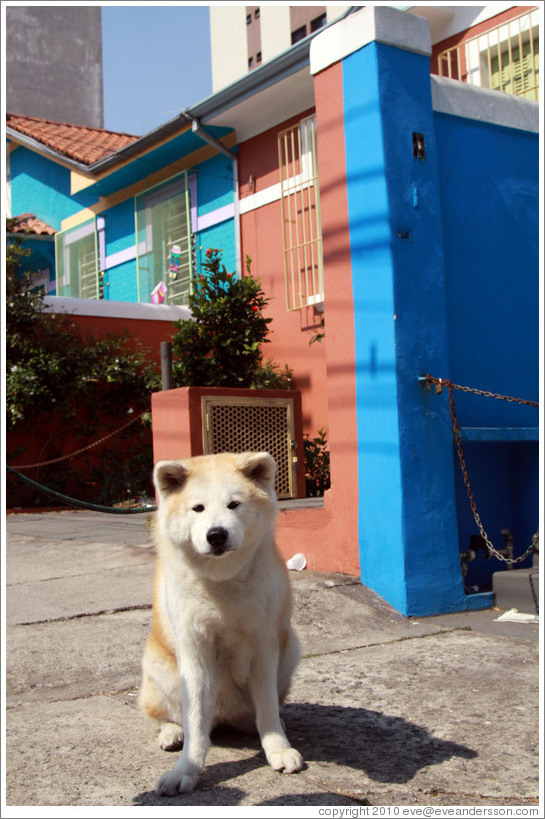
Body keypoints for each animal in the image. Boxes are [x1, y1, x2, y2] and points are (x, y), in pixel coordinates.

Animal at [138, 448, 304, 796]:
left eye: (234, 504)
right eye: (198, 508)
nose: (216, 534)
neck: (223, 583)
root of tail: (225, 716)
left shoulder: (264, 646)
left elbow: (267, 708)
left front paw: (278, 747)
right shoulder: (195, 651)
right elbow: (195, 722)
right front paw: (186, 770)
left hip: (290, 651)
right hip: (158, 669)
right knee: (170, 716)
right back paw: (171, 732)